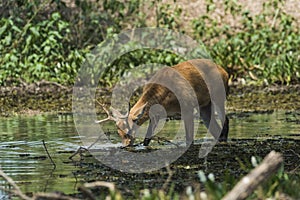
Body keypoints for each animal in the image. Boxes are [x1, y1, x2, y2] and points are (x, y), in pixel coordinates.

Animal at [97, 58, 229, 146]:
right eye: (118, 132)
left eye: (129, 130)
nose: (126, 144)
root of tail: (225, 72)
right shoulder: (155, 115)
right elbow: (146, 139)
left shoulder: (187, 106)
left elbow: (189, 138)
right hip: (204, 105)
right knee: (214, 125)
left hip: (219, 95)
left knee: (225, 119)